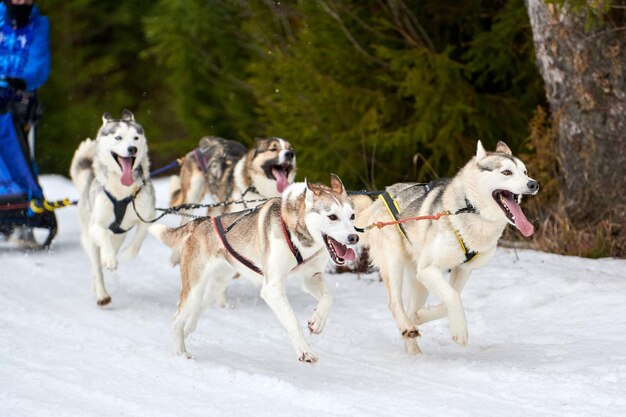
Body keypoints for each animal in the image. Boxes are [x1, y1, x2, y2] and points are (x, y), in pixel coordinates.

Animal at [69, 109, 154, 306]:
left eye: (136, 137)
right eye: (118, 137)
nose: (132, 149)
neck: (122, 193)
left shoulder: (148, 215)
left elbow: (139, 238)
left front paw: (127, 254)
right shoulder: (96, 226)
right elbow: (102, 236)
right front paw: (108, 258)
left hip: (119, 236)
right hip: (89, 238)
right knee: (96, 267)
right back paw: (101, 294)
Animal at [149, 174, 358, 362]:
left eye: (352, 216)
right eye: (332, 216)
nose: (354, 237)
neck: (297, 235)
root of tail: (201, 222)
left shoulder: (310, 276)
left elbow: (328, 298)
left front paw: (317, 321)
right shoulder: (273, 288)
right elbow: (292, 320)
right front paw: (305, 351)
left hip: (216, 285)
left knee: (199, 307)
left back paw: (188, 329)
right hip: (194, 287)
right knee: (176, 319)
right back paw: (181, 352)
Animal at [354, 141, 540, 352]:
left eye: (525, 172)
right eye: (507, 172)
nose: (533, 184)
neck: (470, 209)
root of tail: (383, 195)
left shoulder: (462, 269)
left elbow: (450, 299)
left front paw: (422, 316)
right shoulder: (428, 269)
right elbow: (452, 297)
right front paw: (460, 330)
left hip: (419, 281)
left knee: (411, 307)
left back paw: (414, 345)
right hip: (394, 262)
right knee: (394, 303)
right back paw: (407, 327)